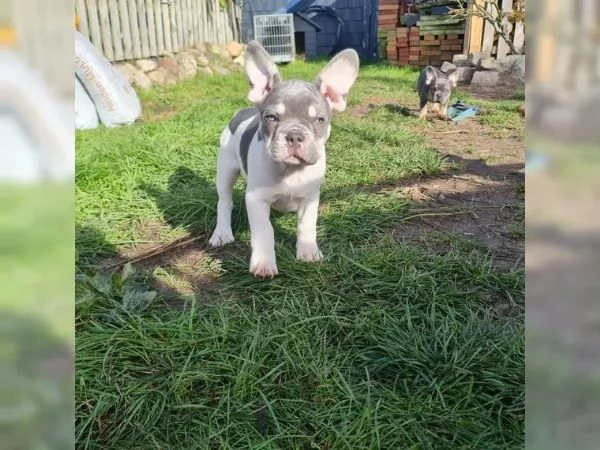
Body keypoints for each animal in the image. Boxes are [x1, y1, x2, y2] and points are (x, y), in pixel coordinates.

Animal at [209, 40, 358, 278]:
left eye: (319, 120)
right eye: (271, 118)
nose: (294, 135)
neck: (290, 170)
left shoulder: (310, 199)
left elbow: (307, 226)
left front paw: (308, 252)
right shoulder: (256, 199)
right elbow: (264, 232)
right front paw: (263, 264)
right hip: (225, 170)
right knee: (224, 201)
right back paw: (222, 233)